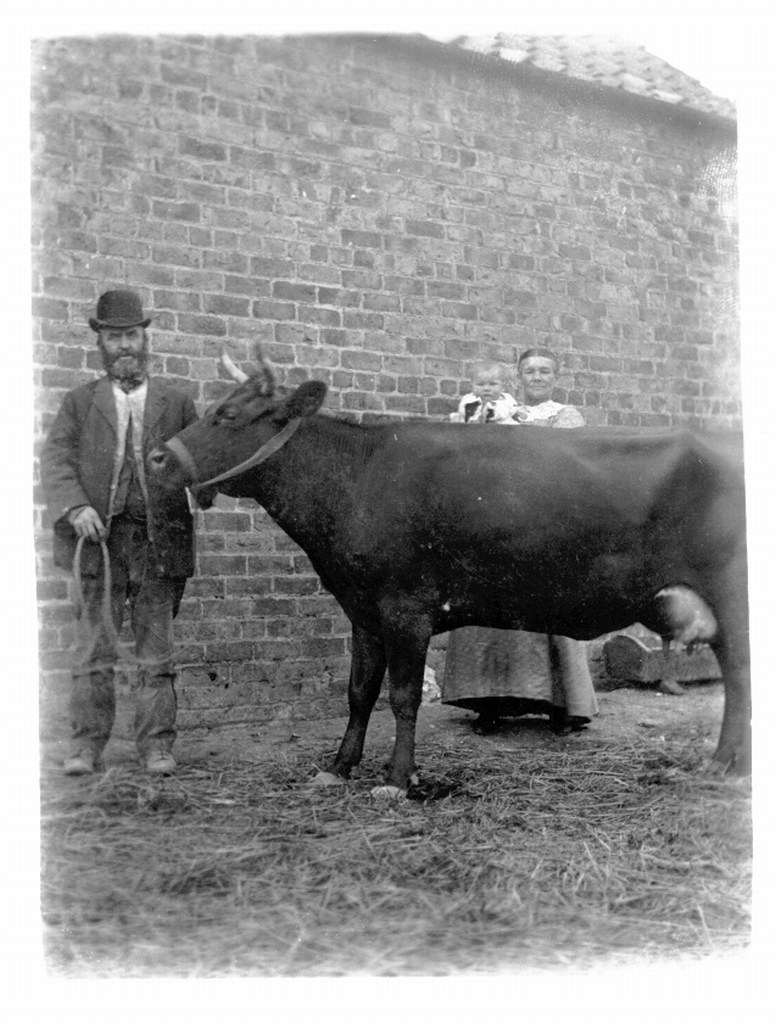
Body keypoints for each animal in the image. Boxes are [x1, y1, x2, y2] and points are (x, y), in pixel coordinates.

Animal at [145, 356, 749, 794]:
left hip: (733, 595)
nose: (153, 459)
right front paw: (338, 768)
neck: (356, 479)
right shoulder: (362, 610)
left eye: (228, 415)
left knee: (741, 676)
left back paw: (725, 765)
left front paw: (396, 779)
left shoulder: (405, 606)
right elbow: (359, 692)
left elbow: (403, 696)